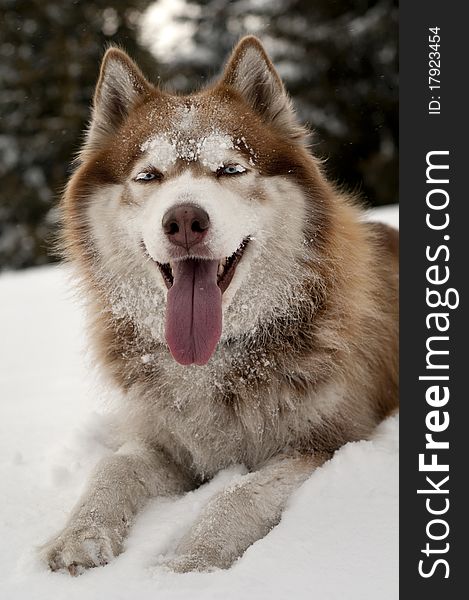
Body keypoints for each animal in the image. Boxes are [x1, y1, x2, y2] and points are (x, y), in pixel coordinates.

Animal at [42, 37, 396, 576]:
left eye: (231, 169)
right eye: (148, 176)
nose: (185, 219)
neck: (215, 357)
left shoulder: (329, 444)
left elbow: (239, 494)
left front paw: (189, 562)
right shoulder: (161, 437)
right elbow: (114, 466)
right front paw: (80, 535)